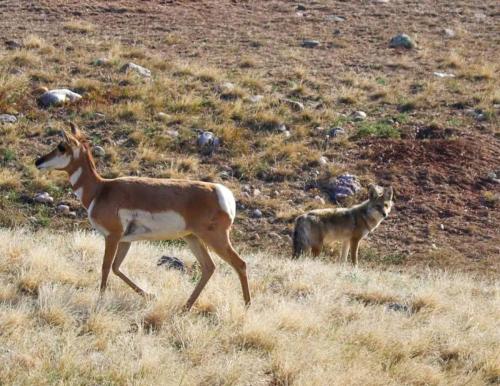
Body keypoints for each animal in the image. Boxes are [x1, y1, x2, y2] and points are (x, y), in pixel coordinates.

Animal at [34, 123, 250, 310]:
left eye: (61, 146)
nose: (38, 161)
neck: (100, 189)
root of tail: (221, 192)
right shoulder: (125, 240)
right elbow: (116, 268)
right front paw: (150, 295)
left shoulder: (112, 237)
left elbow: (105, 267)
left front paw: (100, 300)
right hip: (193, 238)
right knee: (209, 268)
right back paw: (185, 307)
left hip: (214, 238)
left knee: (239, 263)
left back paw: (247, 306)